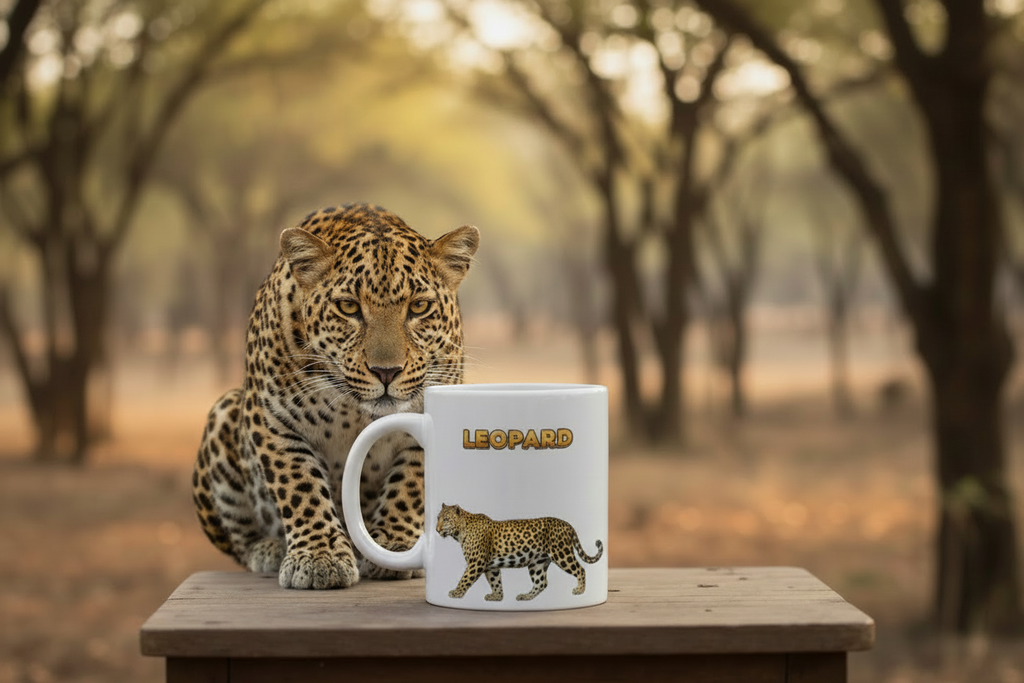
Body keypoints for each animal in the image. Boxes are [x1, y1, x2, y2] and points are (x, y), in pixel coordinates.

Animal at [192, 203, 479, 590]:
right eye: (348, 307)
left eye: (419, 307)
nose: (386, 372)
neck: (354, 411)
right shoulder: (272, 420)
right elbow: (300, 487)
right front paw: (319, 557)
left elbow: (410, 484)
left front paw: (394, 545)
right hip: (223, 415)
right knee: (240, 541)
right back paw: (268, 549)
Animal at [435, 503, 604, 601]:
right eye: (438, 518)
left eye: (446, 519)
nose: (436, 530)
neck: (460, 532)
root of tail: (568, 525)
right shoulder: (491, 566)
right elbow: (495, 582)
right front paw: (497, 596)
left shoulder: (476, 563)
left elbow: (465, 579)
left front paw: (456, 592)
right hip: (537, 563)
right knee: (541, 582)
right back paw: (526, 596)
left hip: (562, 554)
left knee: (580, 569)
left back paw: (580, 590)